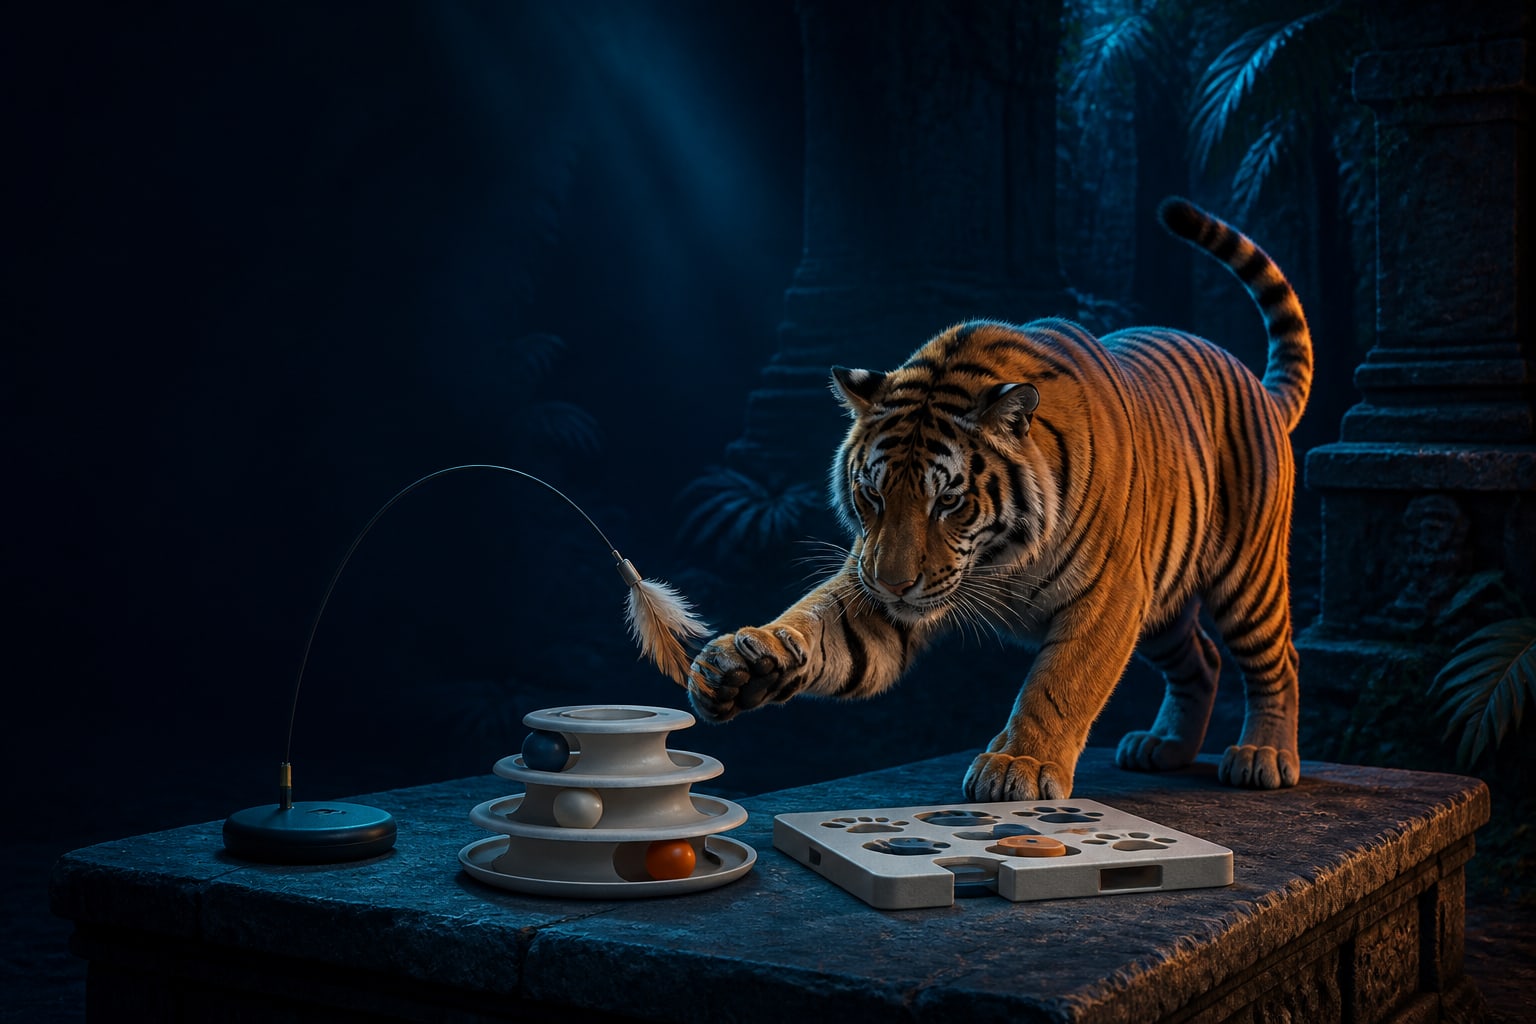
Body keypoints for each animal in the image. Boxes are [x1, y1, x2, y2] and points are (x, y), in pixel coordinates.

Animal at [687, 197, 1311, 801]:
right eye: (871, 495)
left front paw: (1021, 763)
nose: (893, 585)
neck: (1000, 556)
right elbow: (819, 622)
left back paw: (1263, 756)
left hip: (1246, 576)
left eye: (948, 502)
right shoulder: (879, 579)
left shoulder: (1109, 593)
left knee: (1278, 659)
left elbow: (1060, 683)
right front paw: (745, 662)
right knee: (1201, 660)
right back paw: (1164, 747)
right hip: (1162, 603)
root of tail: (1257, 385)